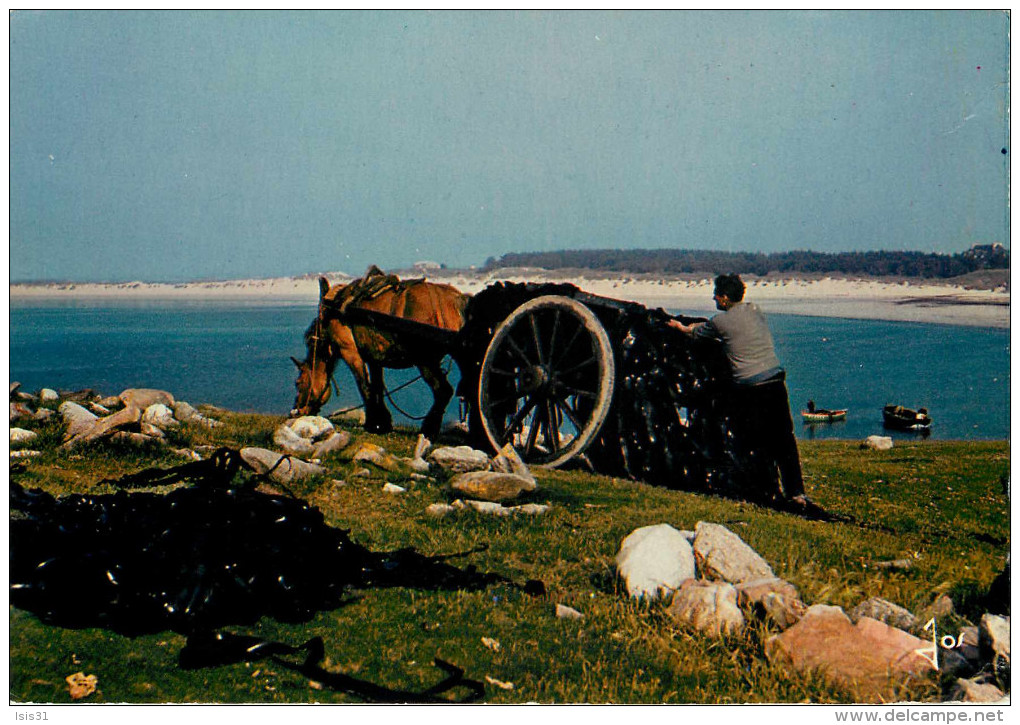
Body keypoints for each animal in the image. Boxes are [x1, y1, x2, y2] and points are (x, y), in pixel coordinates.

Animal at [291, 273, 469, 440]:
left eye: (298, 383)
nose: (296, 411)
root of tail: (456, 300)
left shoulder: (349, 351)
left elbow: (364, 386)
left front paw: (373, 423)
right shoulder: (373, 356)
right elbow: (376, 385)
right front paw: (382, 422)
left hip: (426, 360)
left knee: (443, 390)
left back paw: (428, 428)